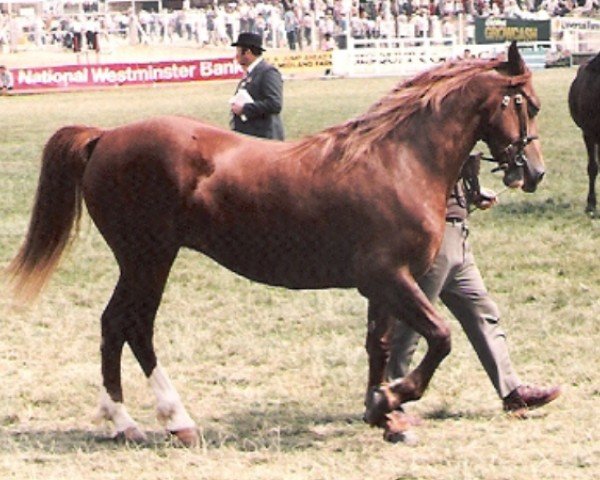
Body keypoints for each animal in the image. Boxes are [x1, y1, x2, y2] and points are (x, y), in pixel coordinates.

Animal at [8, 43, 544, 444]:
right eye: (528, 105)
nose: (534, 172)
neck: (398, 161)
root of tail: (105, 137)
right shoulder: (391, 278)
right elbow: (440, 337)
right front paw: (397, 397)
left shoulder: (382, 287)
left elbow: (379, 345)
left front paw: (383, 413)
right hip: (147, 259)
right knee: (130, 325)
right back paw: (160, 421)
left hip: (144, 261)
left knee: (118, 326)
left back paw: (133, 421)